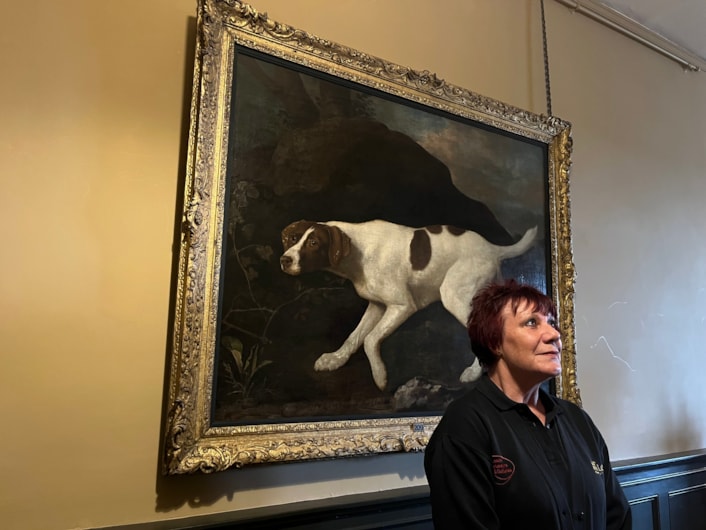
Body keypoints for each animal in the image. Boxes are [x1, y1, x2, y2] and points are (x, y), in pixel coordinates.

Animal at [280, 218, 532, 388]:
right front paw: (335, 359)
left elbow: (370, 340)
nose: (285, 260)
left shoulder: (402, 306)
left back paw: (473, 372)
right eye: (293, 239)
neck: (359, 252)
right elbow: (355, 336)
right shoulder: (377, 306)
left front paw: (380, 376)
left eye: (313, 242)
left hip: (455, 296)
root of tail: (492, 248)